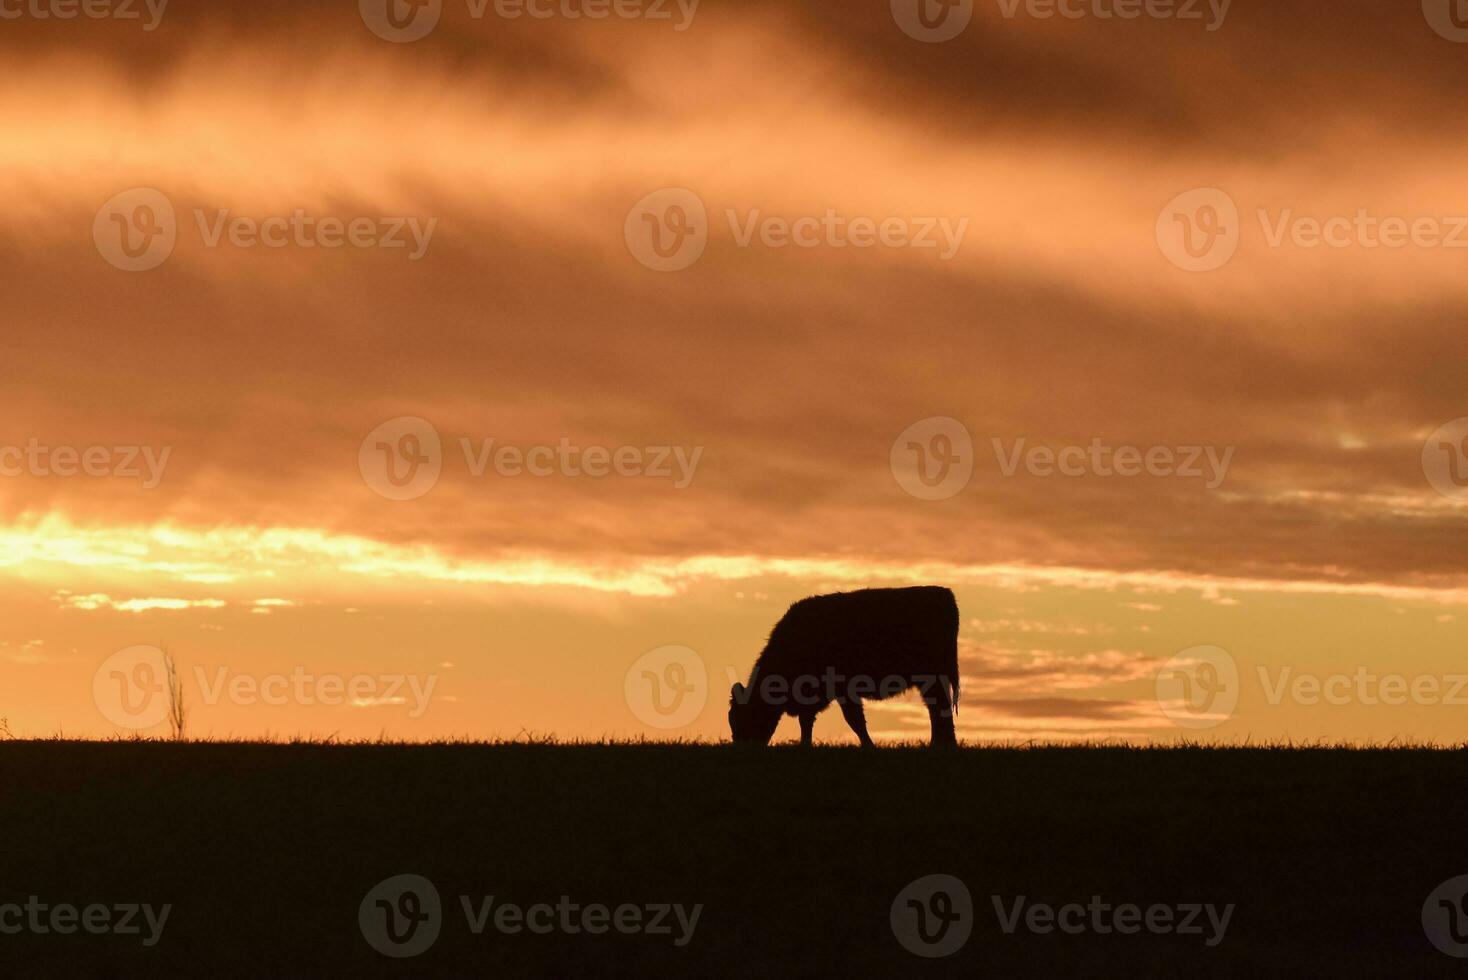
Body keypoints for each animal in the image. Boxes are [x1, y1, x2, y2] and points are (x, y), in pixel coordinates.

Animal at [725, 586, 957, 745]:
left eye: (743, 718)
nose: (743, 747)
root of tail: (943, 593)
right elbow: (807, 722)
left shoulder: (843, 690)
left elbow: (854, 720)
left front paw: (869, 746)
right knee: (937, 709)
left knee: (939, 709)